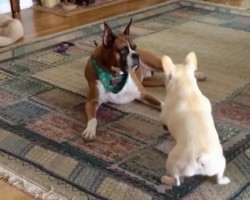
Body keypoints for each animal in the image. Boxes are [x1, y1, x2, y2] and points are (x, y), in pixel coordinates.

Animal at [160, 51, 229, 186]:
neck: (186, 86)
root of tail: (202, 158)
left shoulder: (165, 114)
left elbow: (162, 116)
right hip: (220, 162)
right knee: (219, 178)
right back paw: (224, 180)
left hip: (173, 161)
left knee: (176, 180)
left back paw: (166, 179)